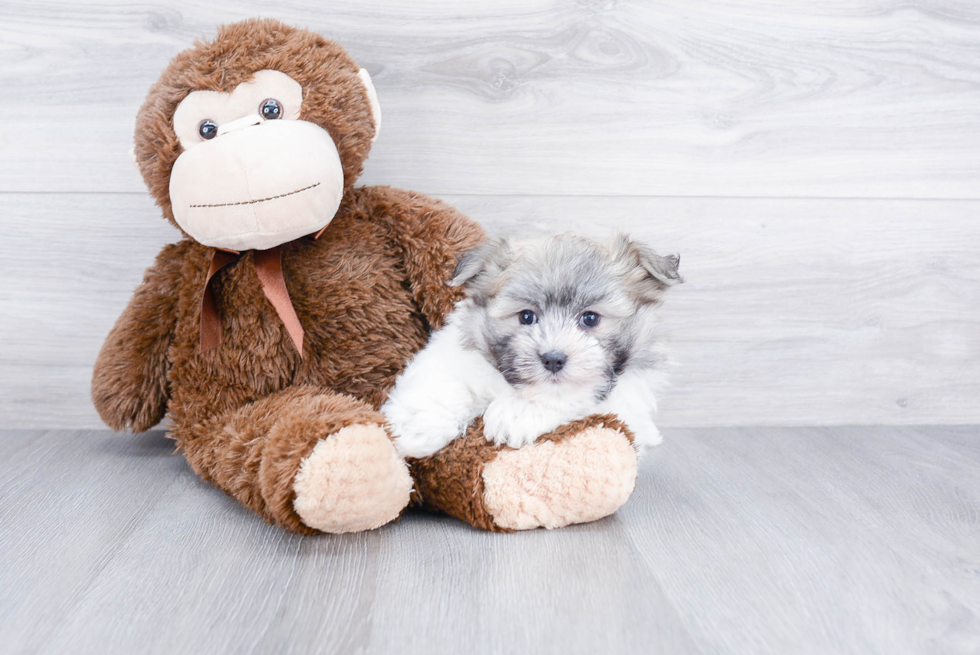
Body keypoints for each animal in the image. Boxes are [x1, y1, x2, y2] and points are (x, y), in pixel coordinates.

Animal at [382, 236, 680, 462]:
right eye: (526, 317)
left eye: (590, 319)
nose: (553, 359)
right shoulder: (454, 352)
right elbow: (442, 382)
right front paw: (413, 429)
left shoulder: (625, 403)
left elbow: (570, 396)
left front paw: (518, 412)